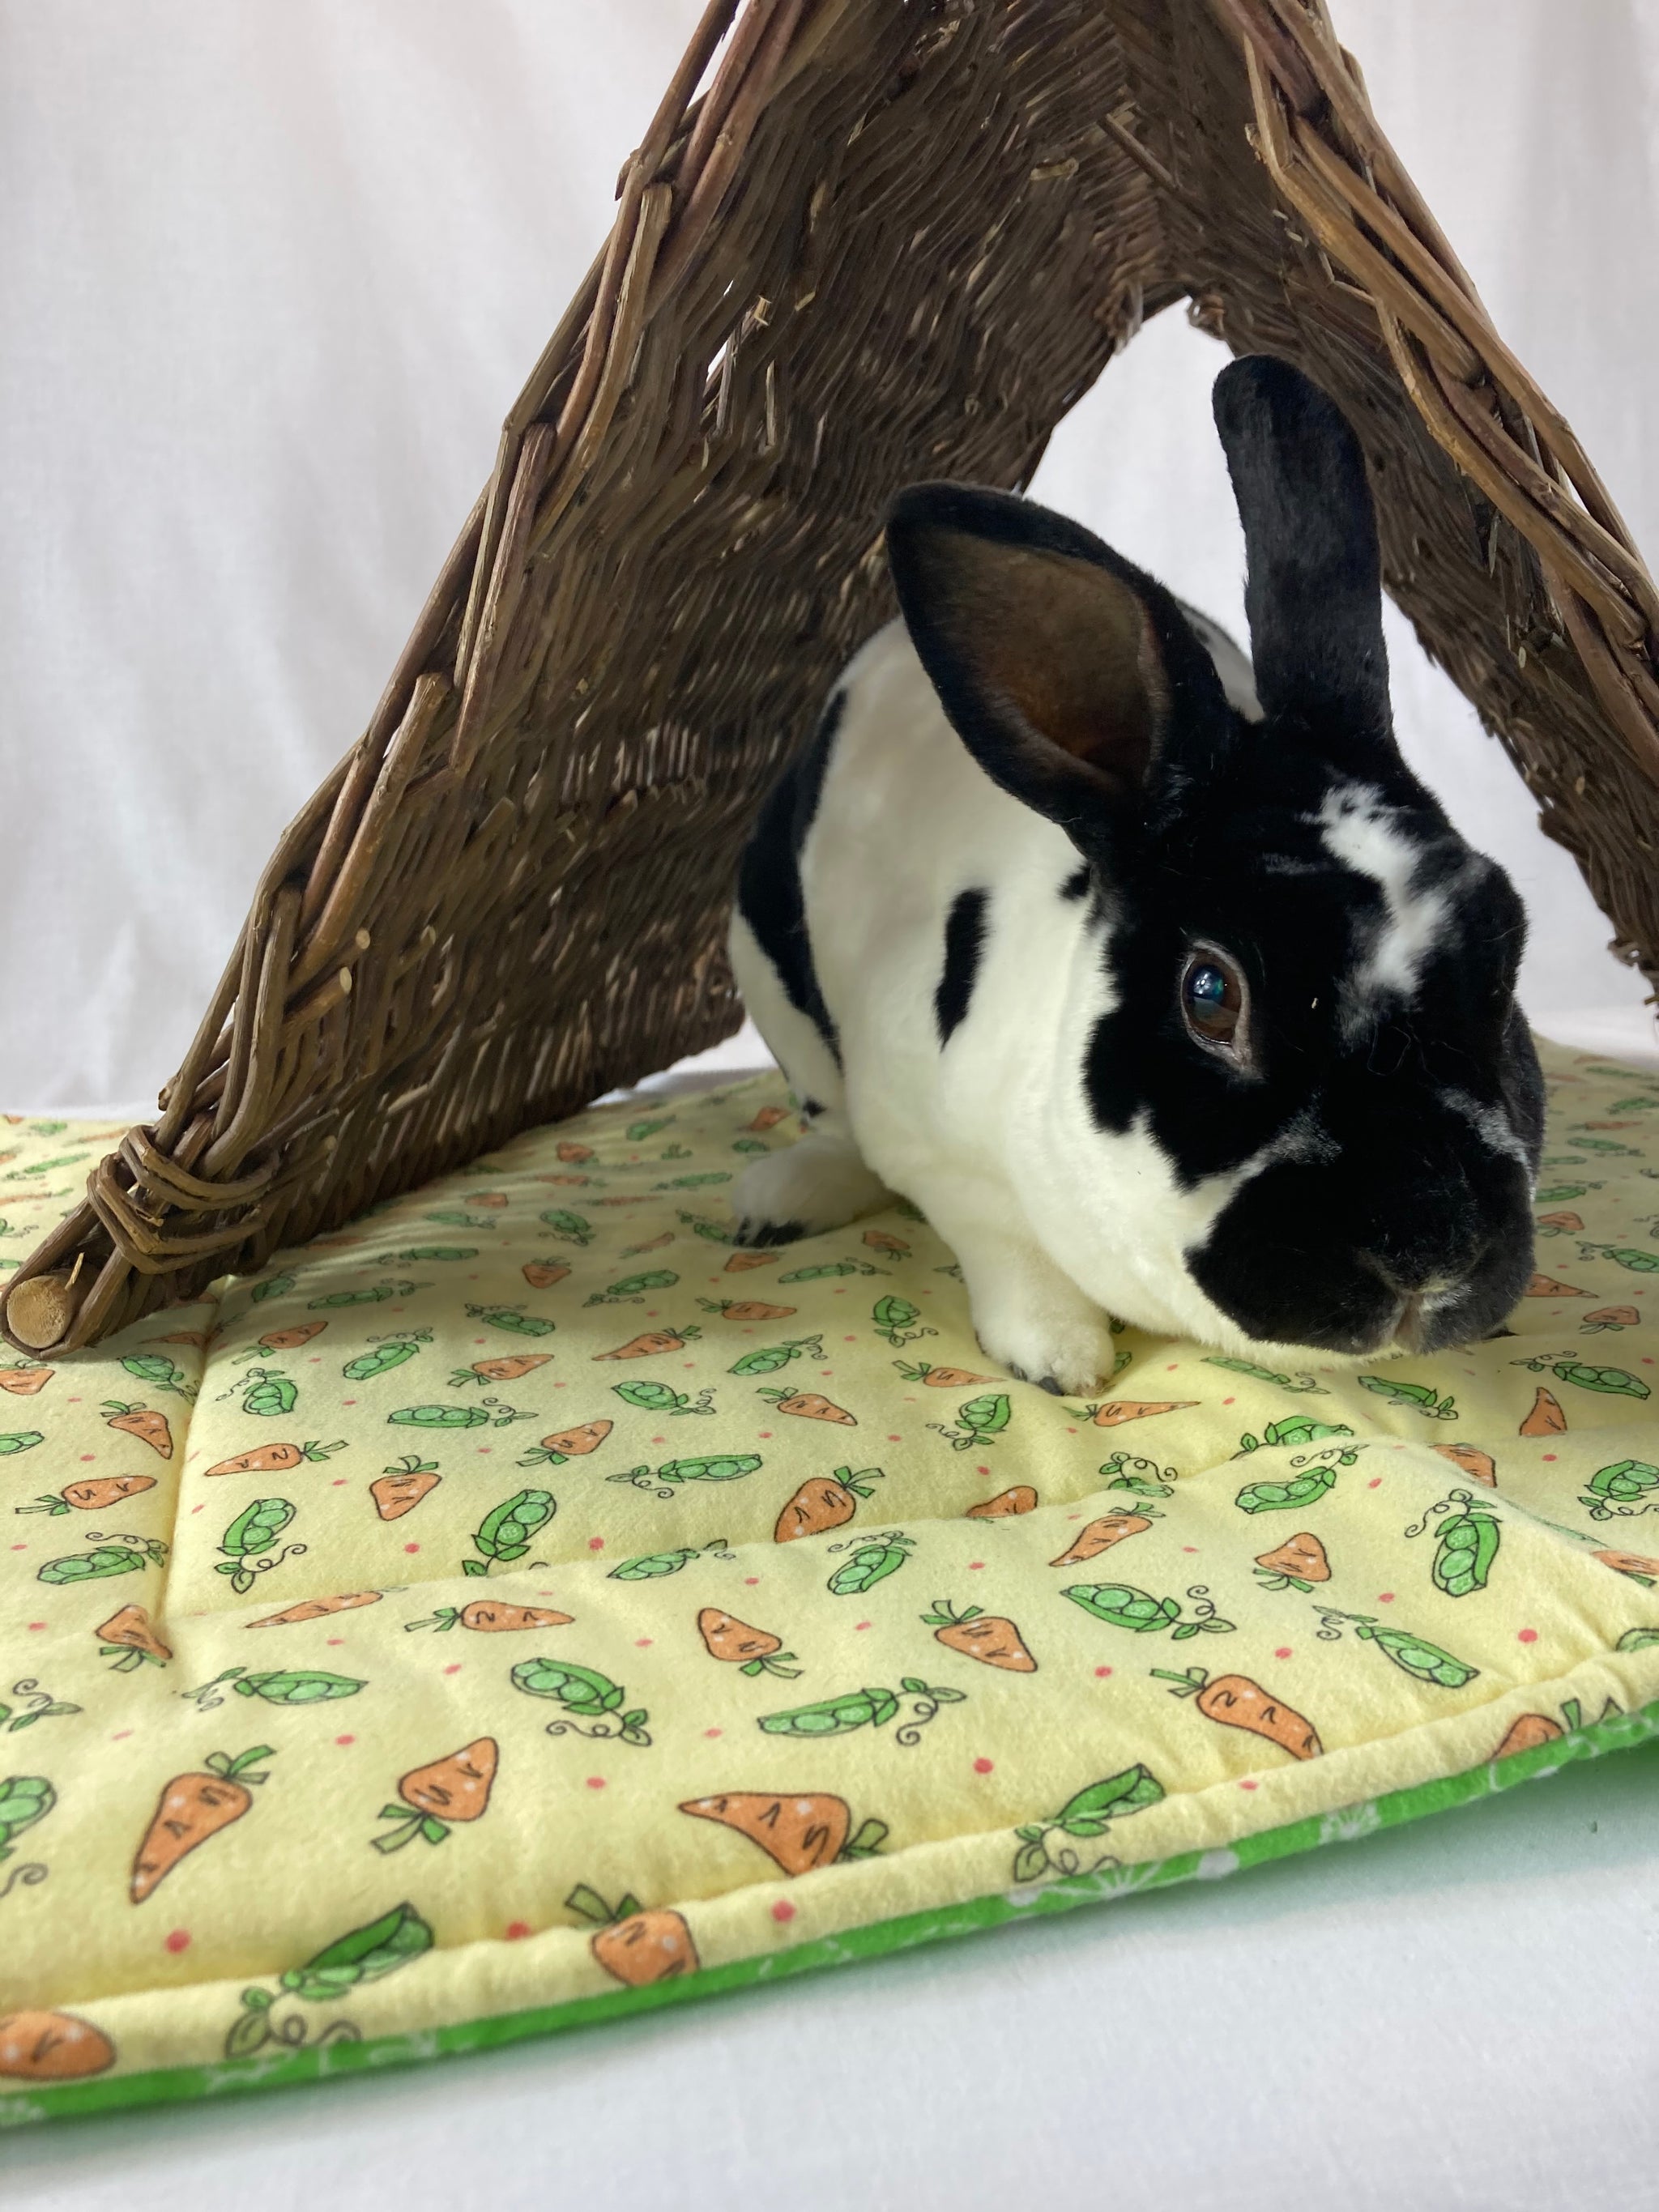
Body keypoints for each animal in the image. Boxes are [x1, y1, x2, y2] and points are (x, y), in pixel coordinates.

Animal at [726, 354, 1545, 1395]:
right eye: (1209, 993)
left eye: (1506, 950)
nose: (1431, 1246)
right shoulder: (932, 1147)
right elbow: (999, 1242)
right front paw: (1057, 1359)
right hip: (769, 979)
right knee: (829, 1127)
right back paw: (776, 1201)